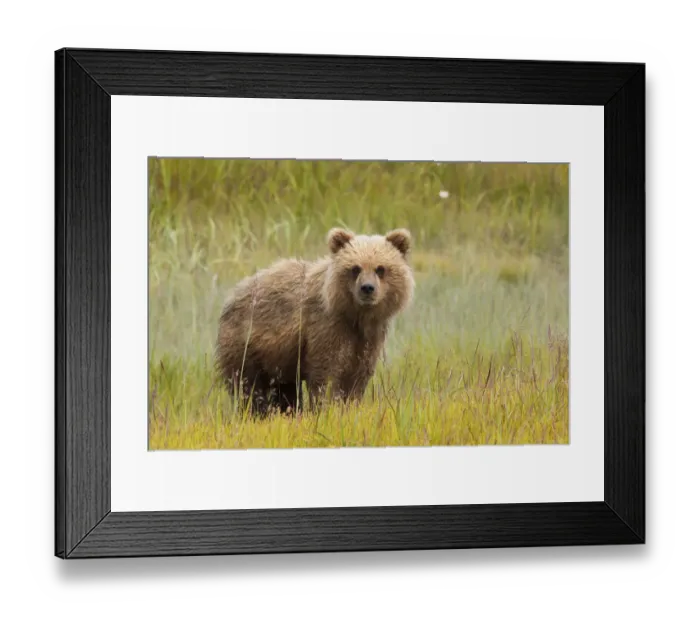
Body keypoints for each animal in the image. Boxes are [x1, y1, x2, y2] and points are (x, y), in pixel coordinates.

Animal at [215, 227, 415, 416]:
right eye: (355, 268)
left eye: (380, 268)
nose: (367, 288)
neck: (355, 316)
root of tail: (231, 296)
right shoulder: (326, 327)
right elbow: (326, 375)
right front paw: (326, 409)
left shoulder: (369, 338)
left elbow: (358, 377)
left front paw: (350, 407)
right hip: (247, 345)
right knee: (248, 387)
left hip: (280, 361)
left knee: (285, 391)